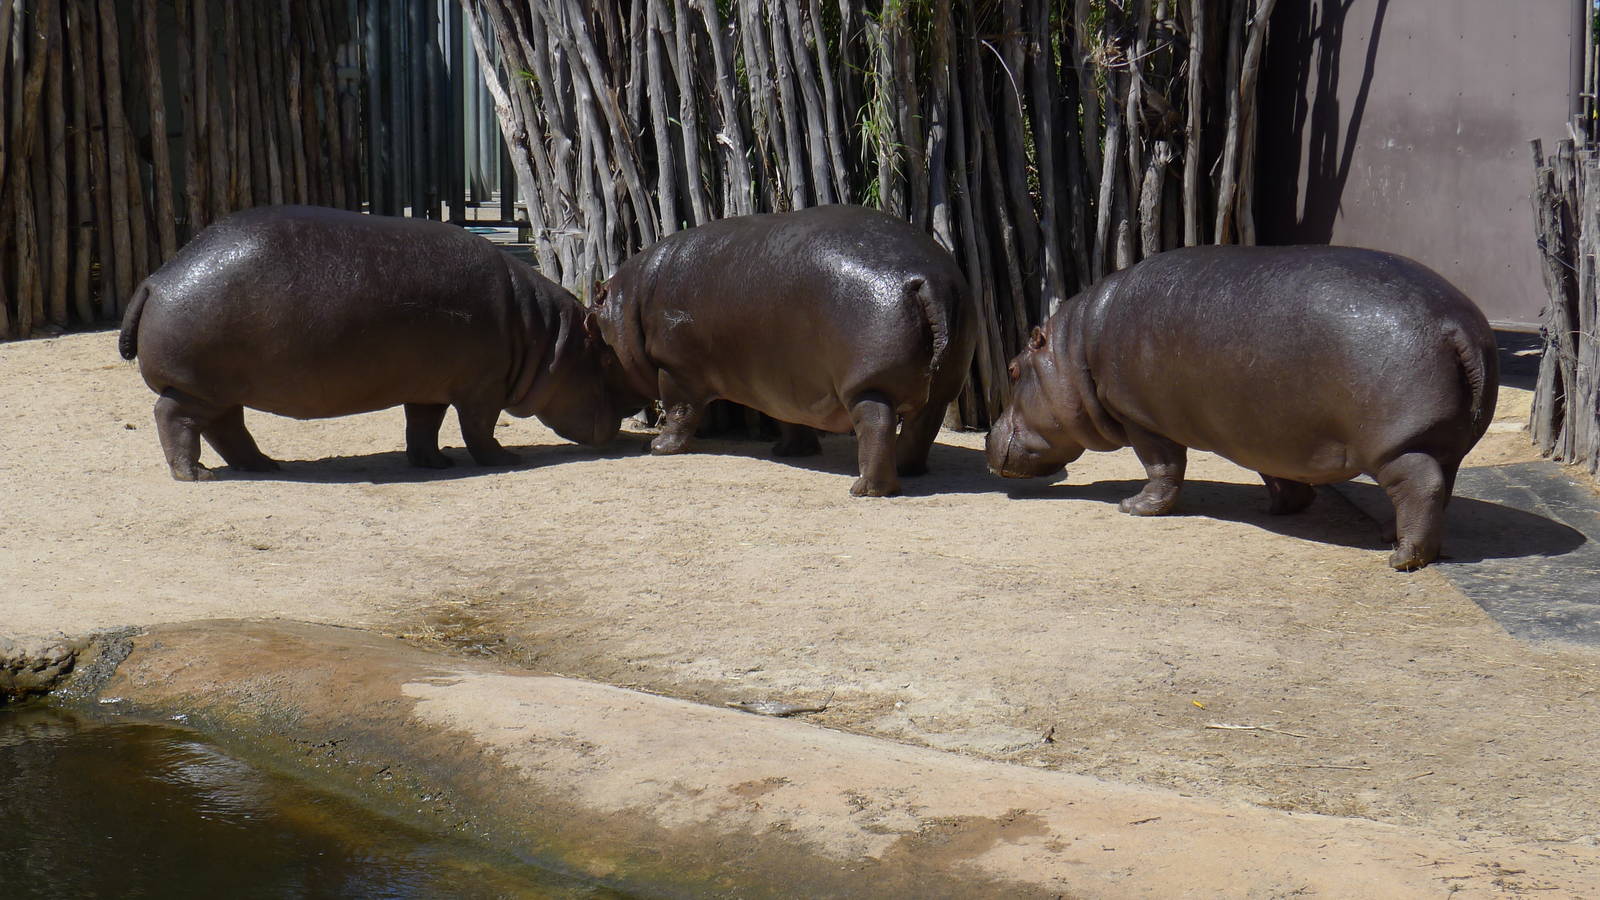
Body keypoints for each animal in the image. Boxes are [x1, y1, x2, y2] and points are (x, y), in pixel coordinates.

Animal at [119, 205, 642, 481]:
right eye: (606, 358)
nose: (635, 409)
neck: (543, 337)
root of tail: (155, 279)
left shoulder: (430, 387)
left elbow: (423, 426)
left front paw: (435, 463)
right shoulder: (482, 389)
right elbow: (478, 430)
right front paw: (506, 459)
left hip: (222, 390)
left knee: (228, 429)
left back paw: (267, 465)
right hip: (198, 387)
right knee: (174, 418)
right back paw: (195, 475)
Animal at [595, 205, 977, 497]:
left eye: (597, 335)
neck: (632, 297)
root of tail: (928, 279)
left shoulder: (676, 367)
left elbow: (679, 410)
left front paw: (658, 448)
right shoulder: (782, 379)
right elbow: (788, 418)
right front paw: (789, 451)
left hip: (868, 386)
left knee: (877, 424)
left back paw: (864, 489)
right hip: (943, 386)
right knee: (922, 427)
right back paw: (908, 469)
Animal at [987, 245, 1498, 570]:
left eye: (1012, 369)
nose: (989, 434)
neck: (1075, 350)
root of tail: (1456, 324)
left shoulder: (1142, 419)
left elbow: (1163, 468)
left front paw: (1134, 508)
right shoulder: (1269, 433)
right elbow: (1279, 475)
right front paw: (1281, 508)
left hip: (1398, 446)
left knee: (1421, 485)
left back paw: (1401, 558)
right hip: (1445, 444)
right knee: (1440, 485)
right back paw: (1392, 537)